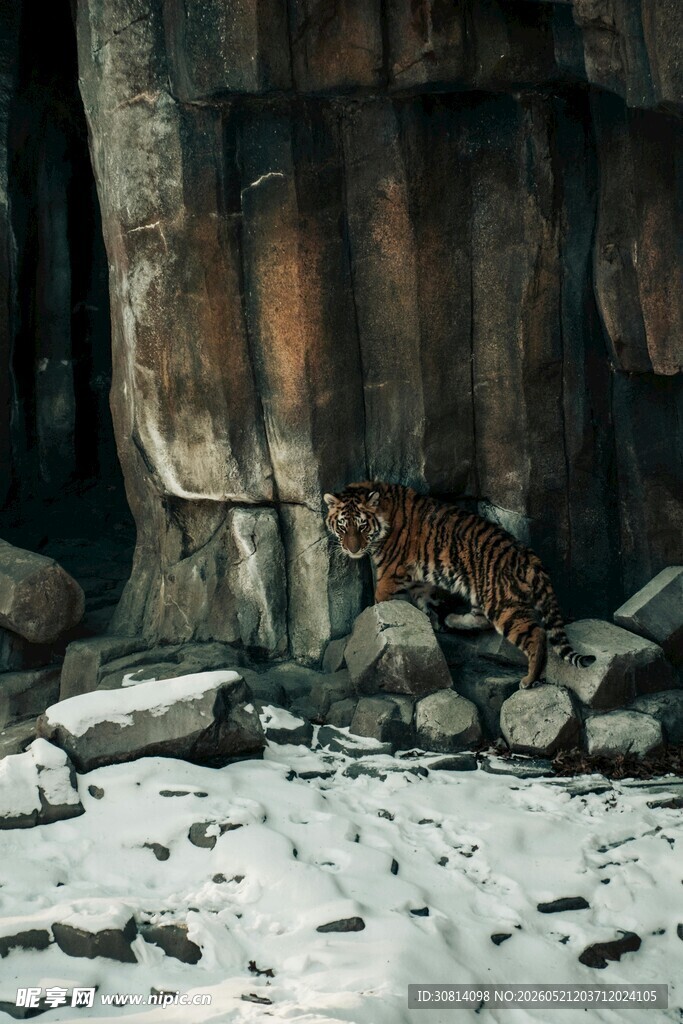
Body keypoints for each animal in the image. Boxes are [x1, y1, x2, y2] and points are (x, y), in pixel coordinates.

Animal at [323, 481, 595, 689]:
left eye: (362, 525)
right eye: (343, 526)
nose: (352, 550)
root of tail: (529, 557)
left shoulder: (390, 576)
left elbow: (380, 603)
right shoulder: (418, 580)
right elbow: (423, 601)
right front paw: (432, 620)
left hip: (502, 604)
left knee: (536, 634)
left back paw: (529, 679)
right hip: (483, 594)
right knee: (481, 619)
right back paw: (452, 619)